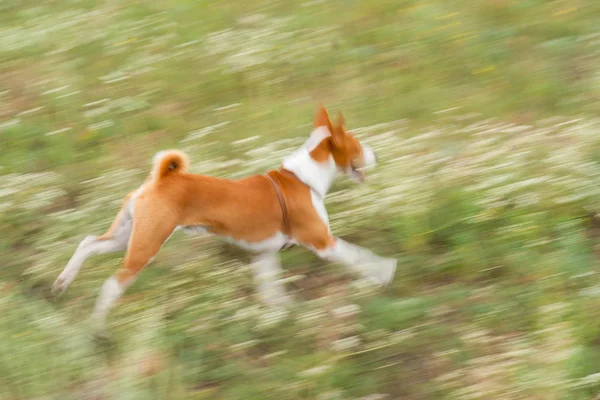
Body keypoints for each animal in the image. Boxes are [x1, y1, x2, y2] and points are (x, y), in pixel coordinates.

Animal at [52, 104, 398, 330]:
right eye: (357, 144)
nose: (378, 154)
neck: (304, 178)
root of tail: (161, 180)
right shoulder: (323, 242)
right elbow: (360, 256)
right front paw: (384, 271)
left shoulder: (265, 254)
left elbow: (272, 290)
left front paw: (283, 314)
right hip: (146, 245)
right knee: (112, 284)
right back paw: (96, 327)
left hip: (127, 236)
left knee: (88, 243)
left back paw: (63, 280)